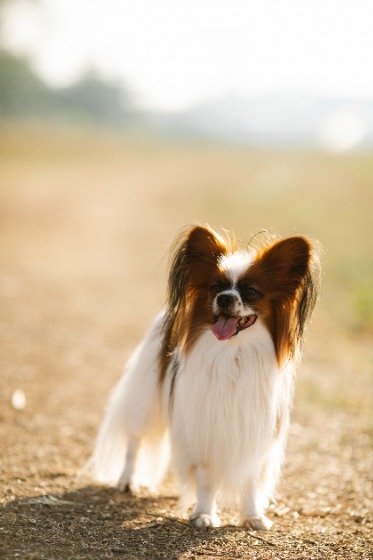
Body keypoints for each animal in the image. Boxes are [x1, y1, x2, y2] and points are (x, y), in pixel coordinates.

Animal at [90, 224, 320, 528]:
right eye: (215, 288)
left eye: (251, 291)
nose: (224, 298)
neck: (234, 353)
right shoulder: (204, 427)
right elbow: (207, 478)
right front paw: (204, 514)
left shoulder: (255, 431)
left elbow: (249, 481)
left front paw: (252, 516)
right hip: (147, 397)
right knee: (134, 439)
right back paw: (128, 481)